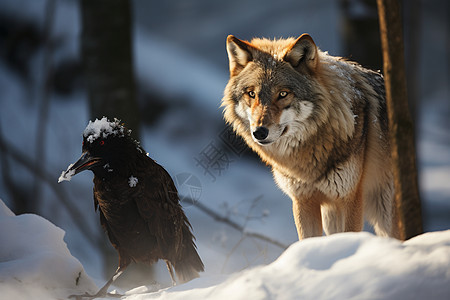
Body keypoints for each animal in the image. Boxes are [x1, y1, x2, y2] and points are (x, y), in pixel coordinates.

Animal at [222, 33, 400, 239]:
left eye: (283, 94)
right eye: (251, 94)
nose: (259, 132)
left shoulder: (350, 198)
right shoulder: (303, 201)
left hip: (384, 213)